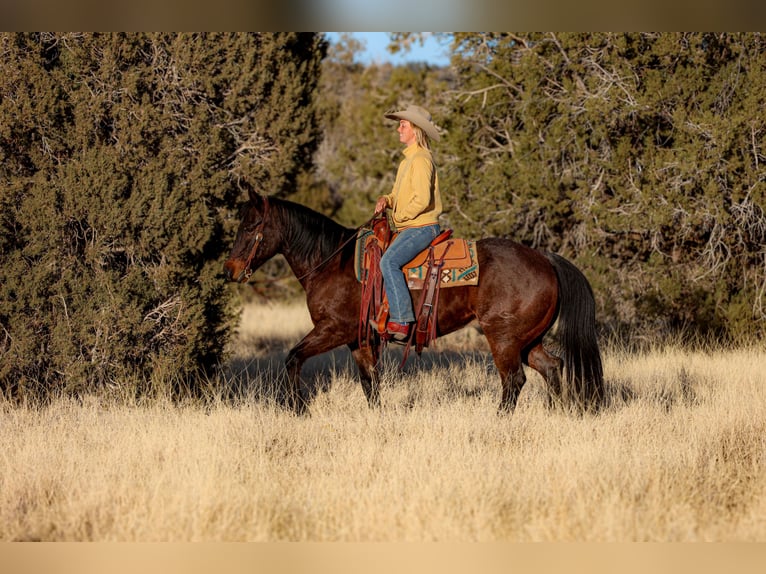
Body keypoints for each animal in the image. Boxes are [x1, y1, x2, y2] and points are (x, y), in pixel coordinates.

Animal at [222, 187, 608, 416]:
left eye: (251, 225)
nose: (230, 270)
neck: (332, 262)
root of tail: (546, 258)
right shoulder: (358, 339)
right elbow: (370, 383)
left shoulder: (333, 329)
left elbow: (293, 358)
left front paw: (297, 409)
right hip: (528, 339)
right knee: (552, 367)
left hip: (503, 338)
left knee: (513, 380)